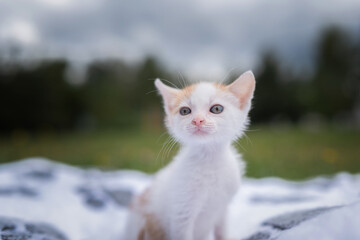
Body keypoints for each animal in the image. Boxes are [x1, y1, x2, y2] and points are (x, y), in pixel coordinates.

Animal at [126, 70, 256, 239]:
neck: (209, 159)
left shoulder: (223, 209)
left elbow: (222, 232)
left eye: (216, 109)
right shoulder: (181, 213)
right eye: (185, 111)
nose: (198, 120)